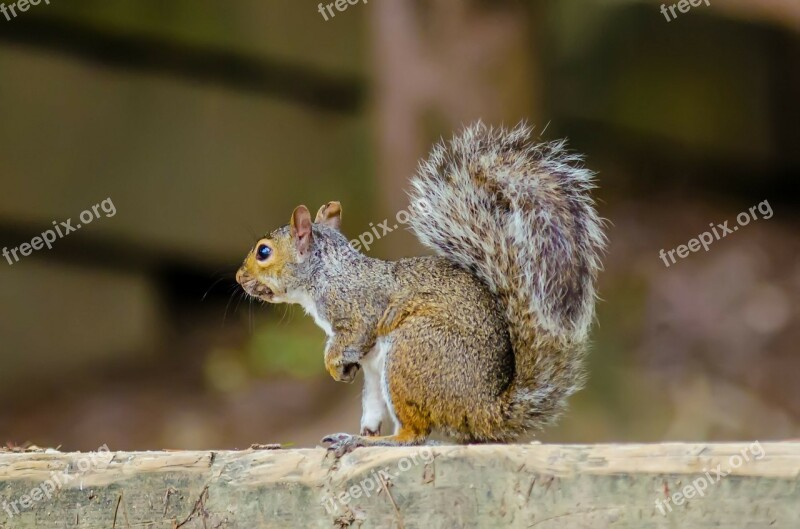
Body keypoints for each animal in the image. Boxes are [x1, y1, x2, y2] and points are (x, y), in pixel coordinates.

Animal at [236, 121, 608, 452]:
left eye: (264, 252)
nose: (239, 278)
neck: (325, 273)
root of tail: (484, 410)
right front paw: (343, 371)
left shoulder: (357, 309)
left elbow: (351, 335)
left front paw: (332, 365)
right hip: (381, 375)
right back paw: (357, 436)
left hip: (411, 351)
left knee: (414, 435)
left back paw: (373, 441)